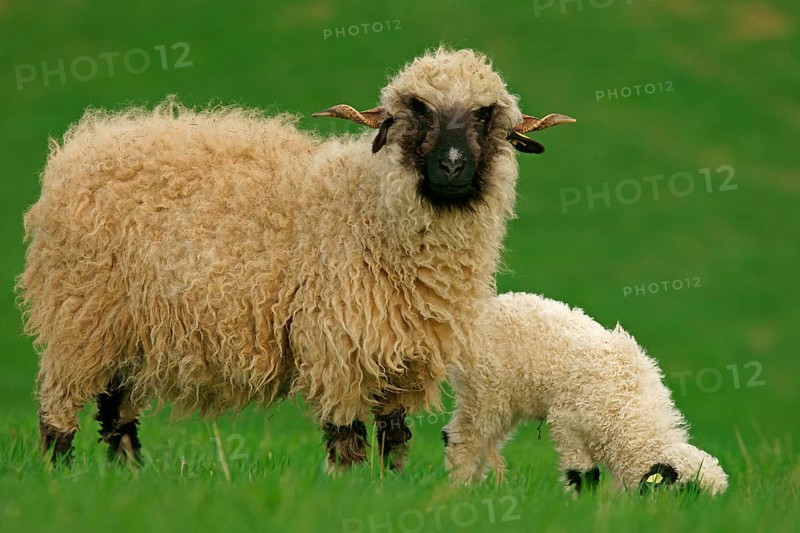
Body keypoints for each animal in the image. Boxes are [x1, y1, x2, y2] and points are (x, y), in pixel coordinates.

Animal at [18, 47, 575, 470]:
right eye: (418, 110)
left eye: (484, 115)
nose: (453, 166)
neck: (365, 208)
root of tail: (80, 145)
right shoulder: (336, 341)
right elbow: (346, 437)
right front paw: (348, 487)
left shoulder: (405, 352)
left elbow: (394, 439)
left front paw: (390, 487)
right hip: (81, 315)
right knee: (59, 409)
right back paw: (60, 476)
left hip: (129, 330)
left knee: (117, 413)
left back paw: (127, 477)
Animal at [442, 292, 728, 495]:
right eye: (684, 493)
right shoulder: (569, 425)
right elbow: (584, 475)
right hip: (485, 393)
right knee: (463, 438)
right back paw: (459, 486)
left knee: (482, 441)